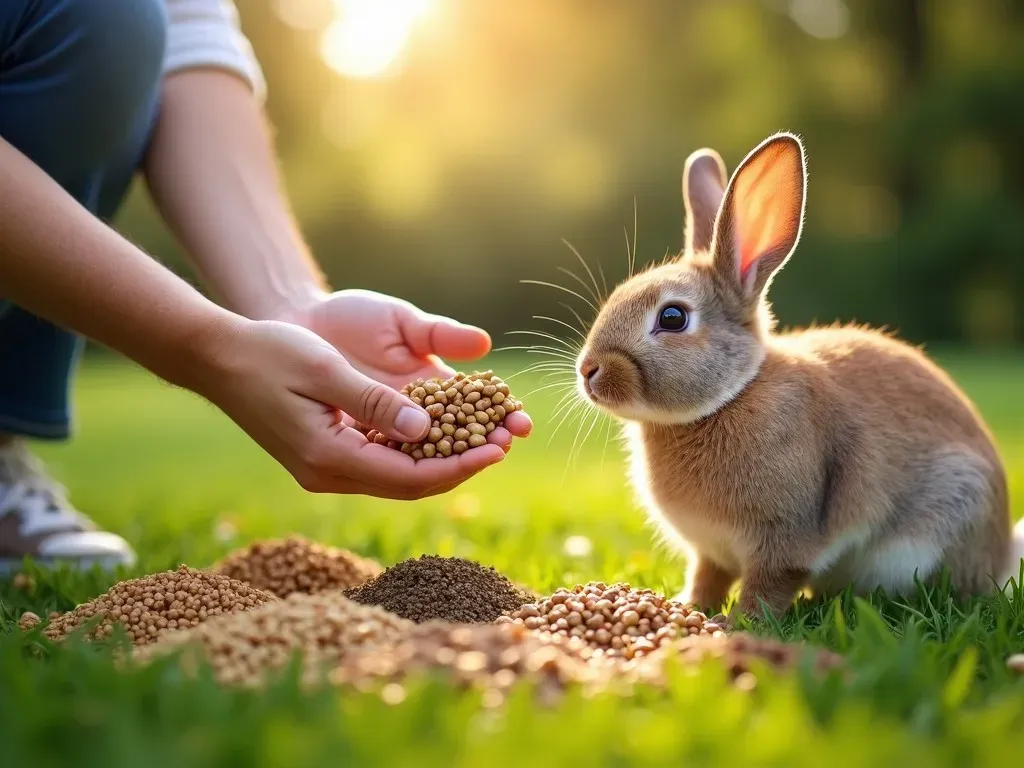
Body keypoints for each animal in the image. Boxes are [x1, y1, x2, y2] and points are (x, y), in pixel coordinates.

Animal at [577, 132, 1024, 622]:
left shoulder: (783, 538)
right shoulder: (711, 552)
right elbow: (708, 577)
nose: (588, 371)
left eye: (673, 318)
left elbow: (769, 584)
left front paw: (740, 623)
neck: (731, 396)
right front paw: (689, 606)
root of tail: (1000, 554)